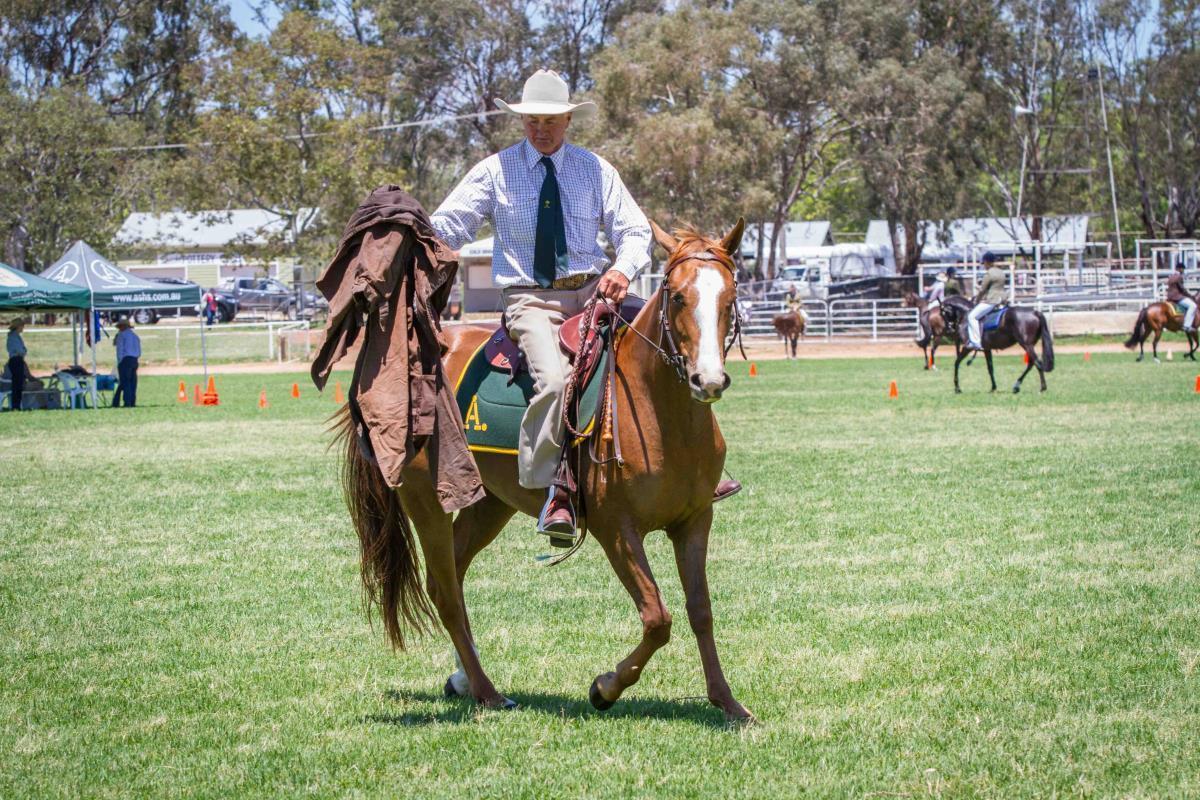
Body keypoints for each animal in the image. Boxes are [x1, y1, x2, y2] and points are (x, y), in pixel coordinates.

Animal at [336, 218, 756, 724]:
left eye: (730, 296)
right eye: (676, 296)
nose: (707, 380)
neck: (659, 413)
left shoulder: (694, 522)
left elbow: (700, 611)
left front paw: (728, 701)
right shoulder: (617, 530)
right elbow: (658, 619)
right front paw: (605, 688)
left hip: (487, 506)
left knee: (448, 581)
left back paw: (464, 680)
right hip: (428, 503)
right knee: (447, 594)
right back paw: (488, 692)